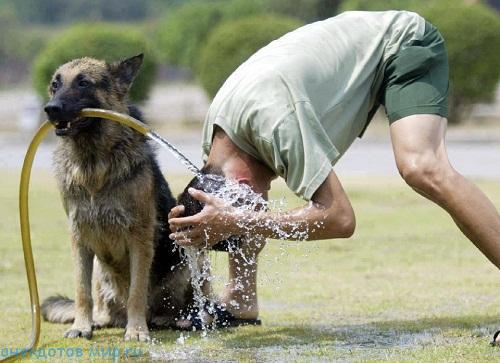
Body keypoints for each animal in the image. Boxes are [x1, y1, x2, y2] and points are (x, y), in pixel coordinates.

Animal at [41, 54, 195, 342]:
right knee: (101, 304)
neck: (93, 164)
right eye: (55, 85)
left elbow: (136, 292)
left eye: (83, 83)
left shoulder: (139, 238)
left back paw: (173, 319)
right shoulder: (79, 238)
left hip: (188, 256)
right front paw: (81, 326)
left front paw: (136, 330)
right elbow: (81, 291)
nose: (50, 109)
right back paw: (100, 320)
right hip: (100, 271)